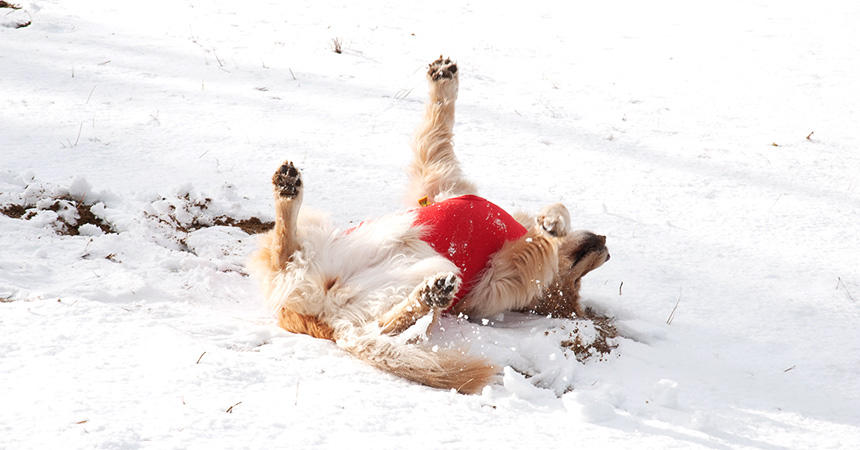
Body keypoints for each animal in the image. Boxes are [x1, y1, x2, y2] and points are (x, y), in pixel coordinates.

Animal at [249, 57, 612, 394]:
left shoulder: (496, 280)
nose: (607, 246)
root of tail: (320, 318)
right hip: (319, 233)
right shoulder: (437, 182)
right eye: (580, 276)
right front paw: (443, 80)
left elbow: (541, 239)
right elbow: (438, 131)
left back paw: (430, 294)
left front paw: (552, 223)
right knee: (286, 249)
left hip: (420, 284)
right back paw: (287, 190)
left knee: (381, 327)